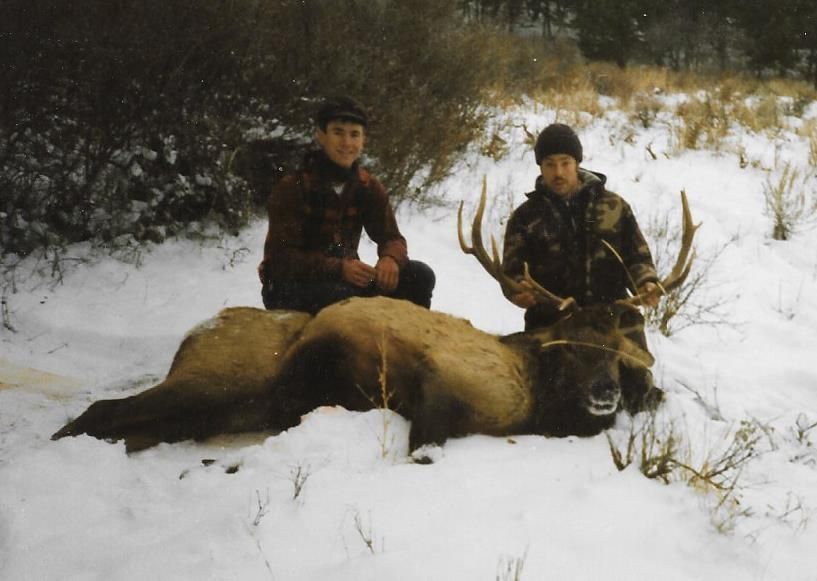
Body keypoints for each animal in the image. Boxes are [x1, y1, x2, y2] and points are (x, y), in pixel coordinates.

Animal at [52, 183, 698, 458]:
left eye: (616, 347)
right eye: (570, 345)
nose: (605, 393)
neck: (536, 400)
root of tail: (194, 333)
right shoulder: (441, 379)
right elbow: (422, 446)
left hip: (237, 402)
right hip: (224, 374)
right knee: (103, 409)